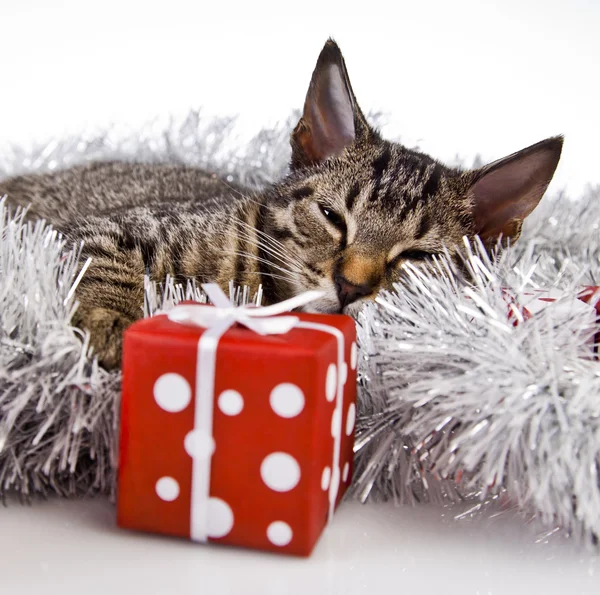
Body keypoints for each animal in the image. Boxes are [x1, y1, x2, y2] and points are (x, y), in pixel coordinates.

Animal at [0, 39, 564, 368]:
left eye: (419, 257)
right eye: (333, 217)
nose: (350, 286)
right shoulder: (106, 228)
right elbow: (106, 264)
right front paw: (110, 325)